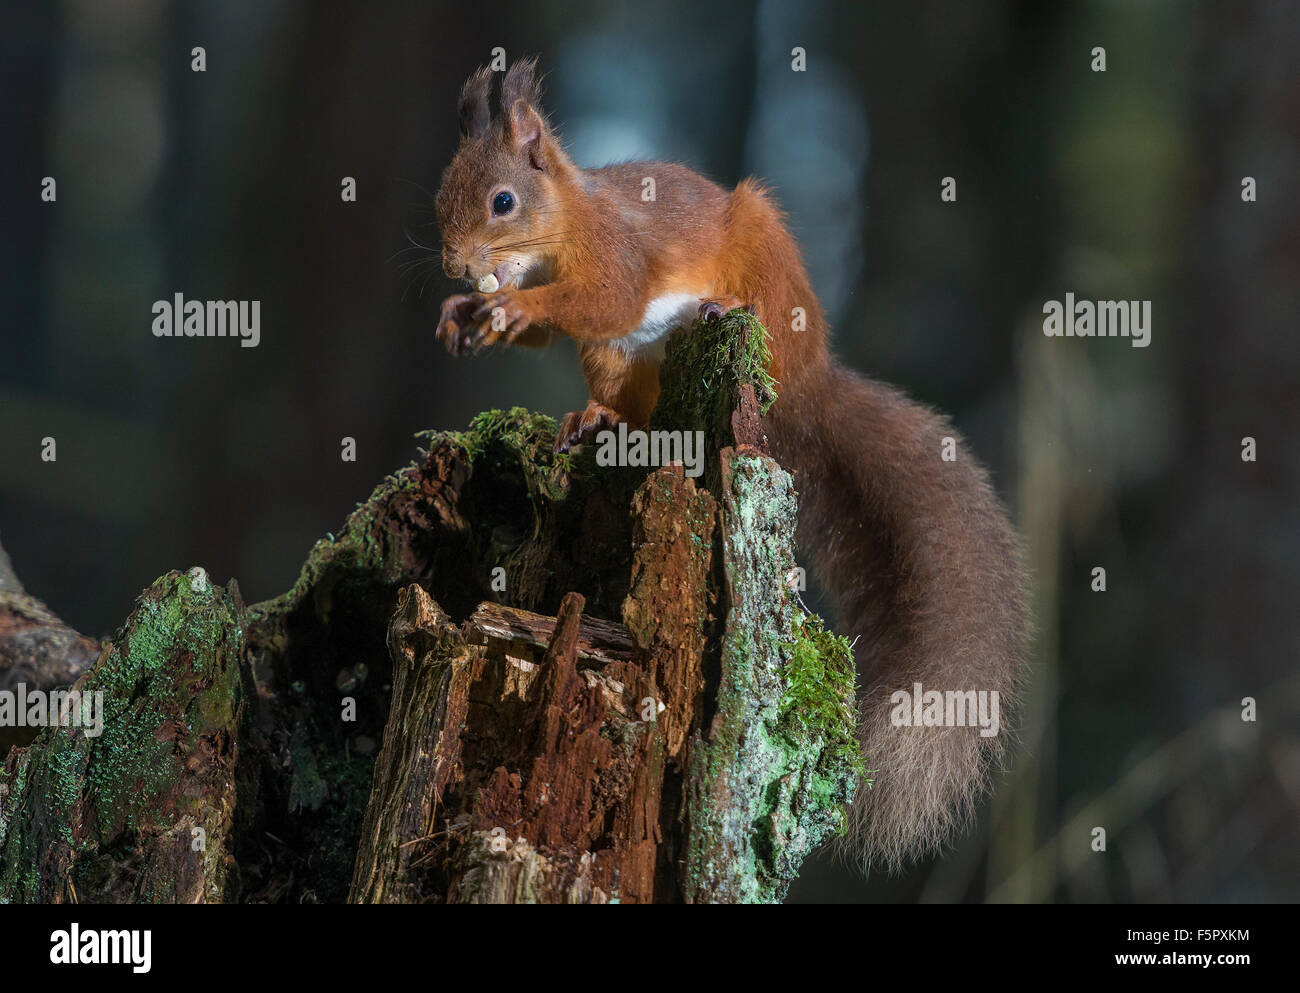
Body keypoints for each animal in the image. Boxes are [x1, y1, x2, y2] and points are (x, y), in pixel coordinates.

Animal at [431, 57, 1028, 871]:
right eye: (441, 195)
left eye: (502, 201)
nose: (455, 265)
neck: (566, 225)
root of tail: (809, 385)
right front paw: (463, 315)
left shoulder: (620, 253)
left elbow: (607, 297)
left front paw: (517, 310)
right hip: (620, 360)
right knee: (627, 396)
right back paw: (602, 418)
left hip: (764, 260)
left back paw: (725, 309)